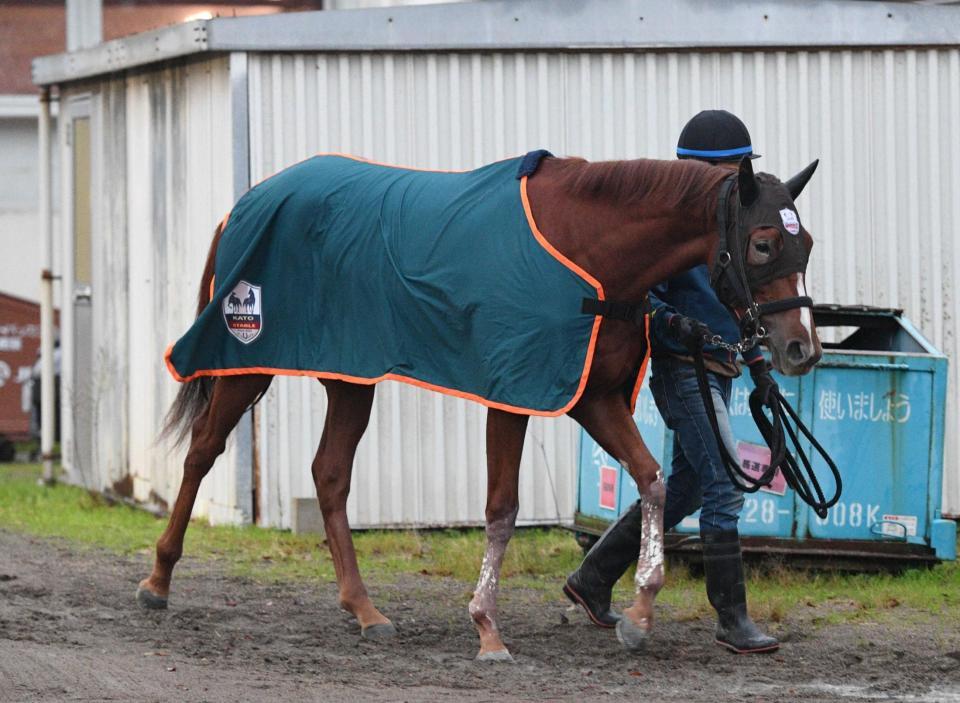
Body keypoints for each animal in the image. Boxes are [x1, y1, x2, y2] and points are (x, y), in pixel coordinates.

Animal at [137, 155, 824, 664]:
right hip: (245, 361)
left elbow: (653, 480)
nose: (801, 349)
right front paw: (487, 629)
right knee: (202, 453)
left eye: (808, 242)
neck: (588, 254)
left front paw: (639, 610)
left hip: (351, 375)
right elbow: (501, 510)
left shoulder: (592, 398)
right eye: (764, 243)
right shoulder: (513, 392)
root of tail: (244, 204)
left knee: (329, 475)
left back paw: (364, 609)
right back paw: (158, 581)